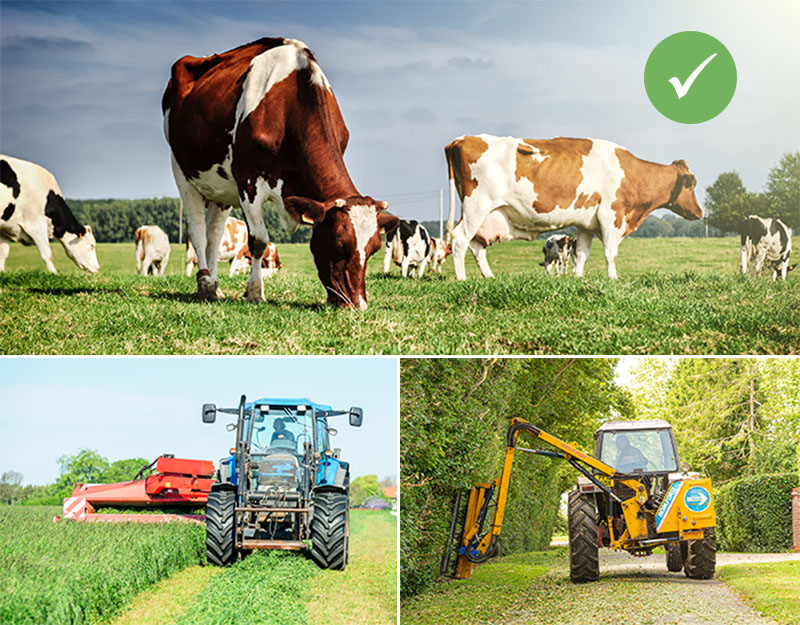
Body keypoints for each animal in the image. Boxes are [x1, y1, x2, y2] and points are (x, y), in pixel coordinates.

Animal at [163, 37, 396, 308]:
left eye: (374, 248)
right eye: (339, 244)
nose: (358, 305)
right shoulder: (248, 181)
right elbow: (259, 240)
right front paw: (255, 292)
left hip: (221, 188)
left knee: (214, 234)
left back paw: (215, 286)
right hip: (182, 170)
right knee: (198, 232)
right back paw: (205, 284)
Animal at [446, 135, 704, 280]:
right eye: (692, 184)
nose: (700, 212)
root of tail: (460, 139)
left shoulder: (586, 224)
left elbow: (581, 255)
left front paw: (578, 278)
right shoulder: (611, 216)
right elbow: (611, 253)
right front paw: (613, 279)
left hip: (484, 214)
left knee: (476, 245)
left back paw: (489, 277)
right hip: (476, 206)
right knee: (460, 240)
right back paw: (462, 279)